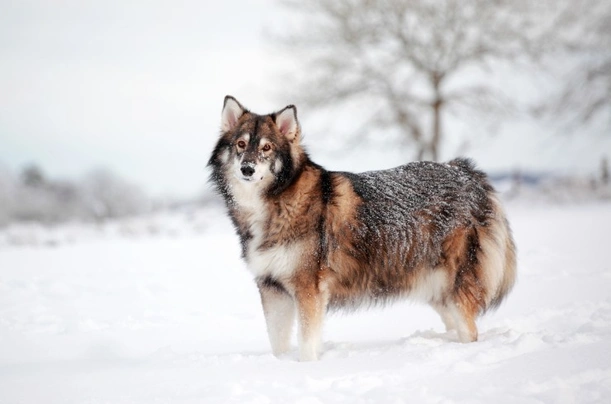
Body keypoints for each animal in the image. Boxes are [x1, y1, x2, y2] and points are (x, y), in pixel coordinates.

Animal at [209, 96, 516, 362]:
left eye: (266, 148)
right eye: (240, 144)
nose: (247, 169)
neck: (275, 203)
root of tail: (466, 171)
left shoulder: (308, 290)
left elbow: (307, 343)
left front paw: (305, 367)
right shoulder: (272, 289)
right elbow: (277, 343)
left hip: (453, 289)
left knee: (471, 331)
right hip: (436, 290)